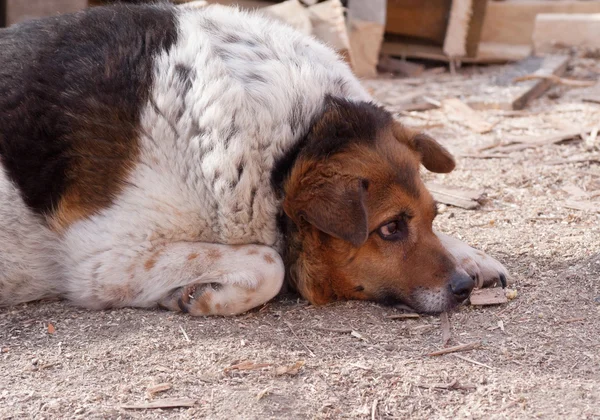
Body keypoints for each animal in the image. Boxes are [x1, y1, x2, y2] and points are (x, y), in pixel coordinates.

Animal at [0, 2, 506, 316]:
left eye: (432, 215)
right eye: (390, 229)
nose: (461, 289)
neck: (286, 150)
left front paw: (471, 255)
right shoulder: (106, 262)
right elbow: (270, 263)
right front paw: (197, 297)